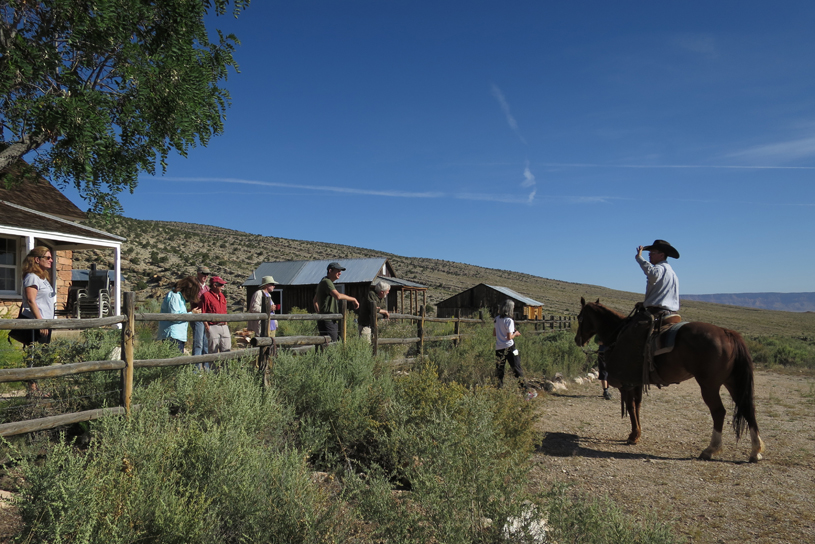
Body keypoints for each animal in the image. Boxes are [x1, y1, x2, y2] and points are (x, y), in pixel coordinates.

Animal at [576, 298, 760, 464]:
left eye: (579, 317)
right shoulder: (637, 383)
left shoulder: (627, 384)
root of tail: (727, 333)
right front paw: (638, 434)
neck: (617, 334)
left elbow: (631, 407)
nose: (577, 339)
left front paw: (633, 436)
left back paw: (710, 450)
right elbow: (638, 406)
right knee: (748, 408)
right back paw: (755, 451)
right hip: (732, 382)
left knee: (719, 412)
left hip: (709, 385)